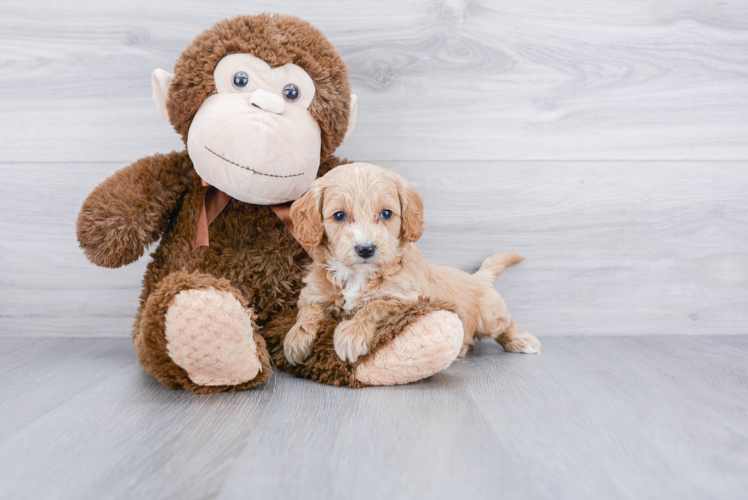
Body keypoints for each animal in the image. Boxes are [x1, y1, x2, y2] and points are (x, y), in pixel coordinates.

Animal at [284, 163, 540, 364]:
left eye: (386, 214)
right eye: (339, 216)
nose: (366, 249)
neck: (359, 275)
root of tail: (478, 278)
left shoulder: (408, 298)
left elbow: (374, 306)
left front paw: (352, 334)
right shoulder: (313, 292)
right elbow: (309, 312)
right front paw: (296, 339)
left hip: (490, 314)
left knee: (505, 324)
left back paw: (522, 340)